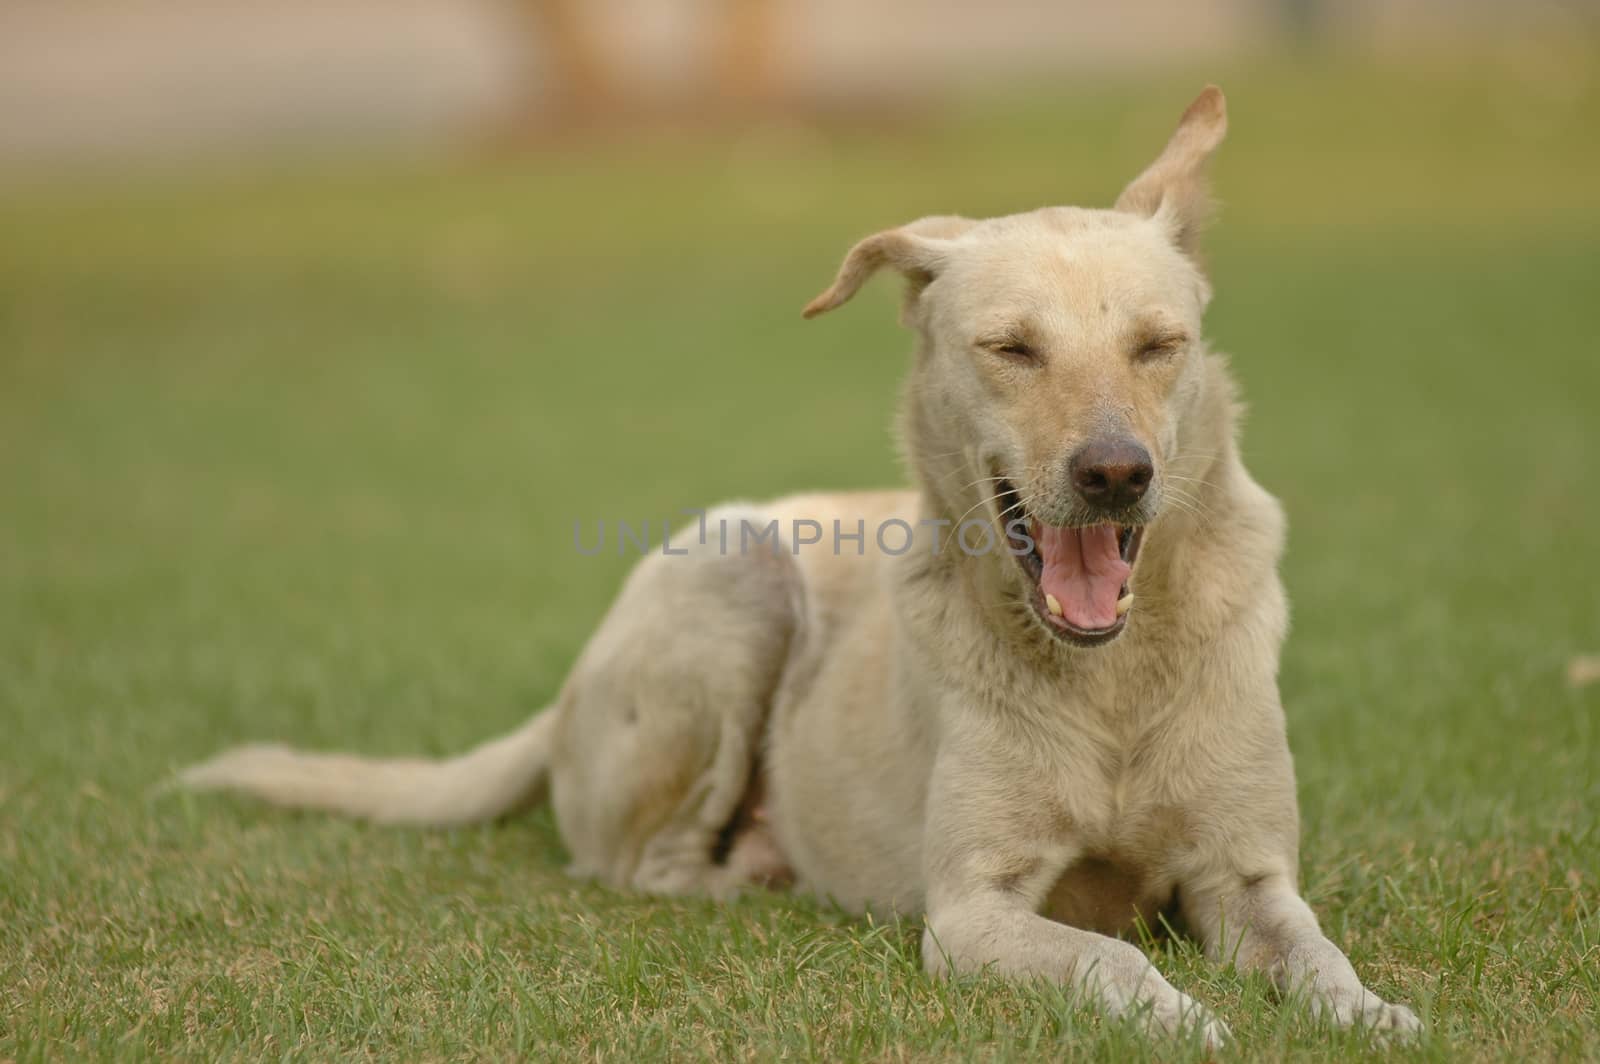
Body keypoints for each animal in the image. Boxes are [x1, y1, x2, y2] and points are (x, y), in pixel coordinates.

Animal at [178, 87, 1427, 1043]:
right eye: (1012, 348)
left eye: (1159, 345)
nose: (1116, 471)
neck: (1109, 673)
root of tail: (567, 694)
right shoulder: (969, 909)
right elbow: (1107, 958)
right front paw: (1182, 1015)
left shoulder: (1244, 873)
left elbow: (1319, 954)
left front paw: (1374, 1014)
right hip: (732, 578)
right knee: (640, 862)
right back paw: (756, 872)